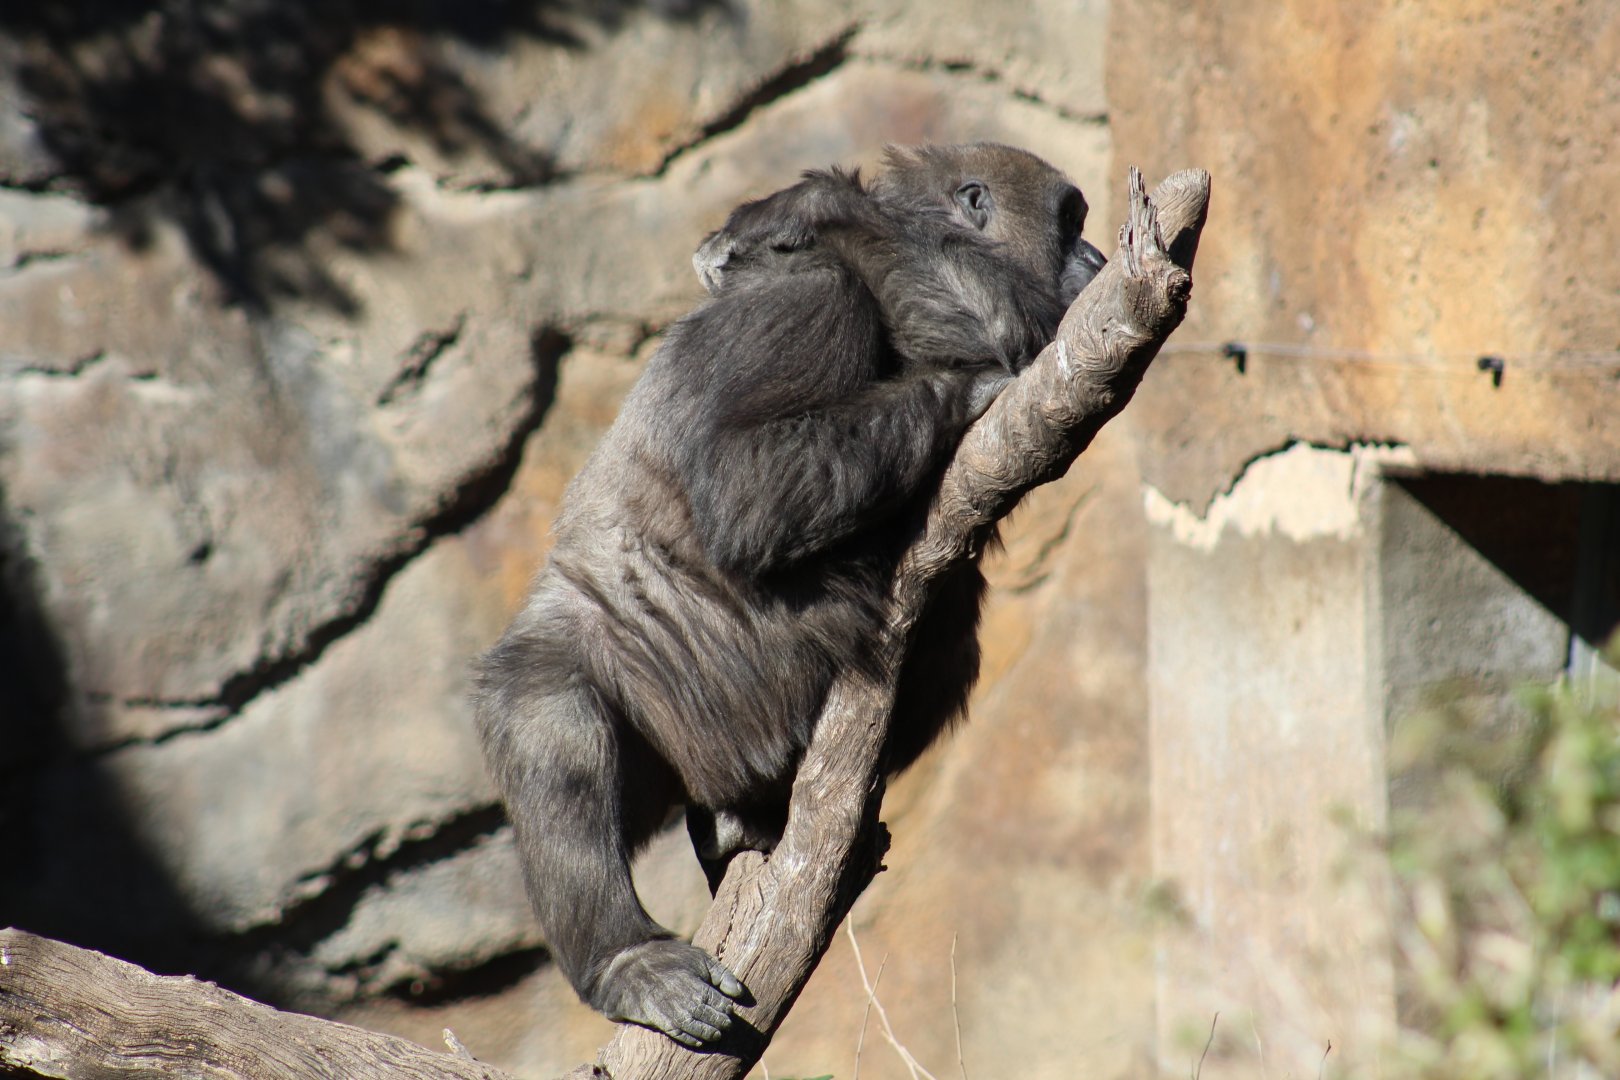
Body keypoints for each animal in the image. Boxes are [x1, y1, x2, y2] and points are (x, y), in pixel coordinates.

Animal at [473, 143, 1106, 1048]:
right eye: (1069, 223)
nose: (1096, 258)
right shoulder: (805, 302)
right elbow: (749, 484)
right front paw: (954, 373)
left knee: (948, 629)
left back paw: (750, 819)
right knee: (549, 725)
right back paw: (624, 958)